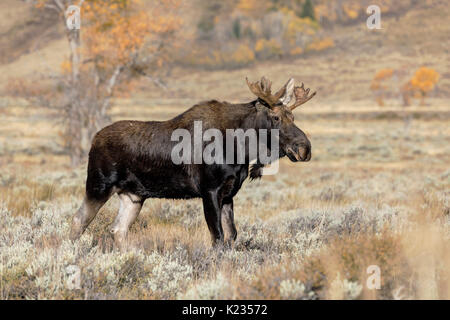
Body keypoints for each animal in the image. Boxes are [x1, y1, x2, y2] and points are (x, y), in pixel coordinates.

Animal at [70, 77, 316, 248]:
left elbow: (231, 236)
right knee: (78, 221)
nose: (305, 149)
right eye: (275, 117)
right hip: (98, 186)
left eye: (293, 117)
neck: (241, 149)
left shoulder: (229, 193)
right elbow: (217, 237)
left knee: (117, 229)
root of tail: (93, 140)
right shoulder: (209, 190)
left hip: (133, 196)